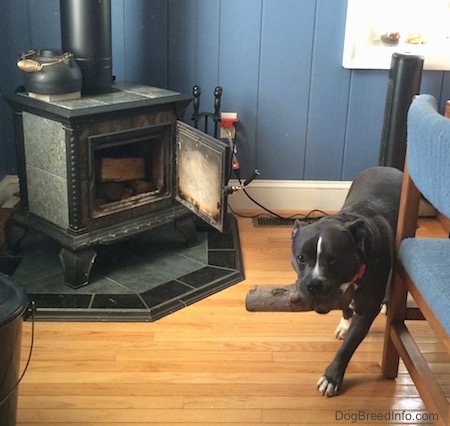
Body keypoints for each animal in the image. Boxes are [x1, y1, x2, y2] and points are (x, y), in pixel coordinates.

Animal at [290, 166, 402, 396]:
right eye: (301, 258)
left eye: (334, 260)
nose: (314, 284)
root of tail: (389, 168)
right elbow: (345, 309)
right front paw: (344, 324)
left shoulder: (367, 310)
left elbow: (348, 347)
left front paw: (331, 377)